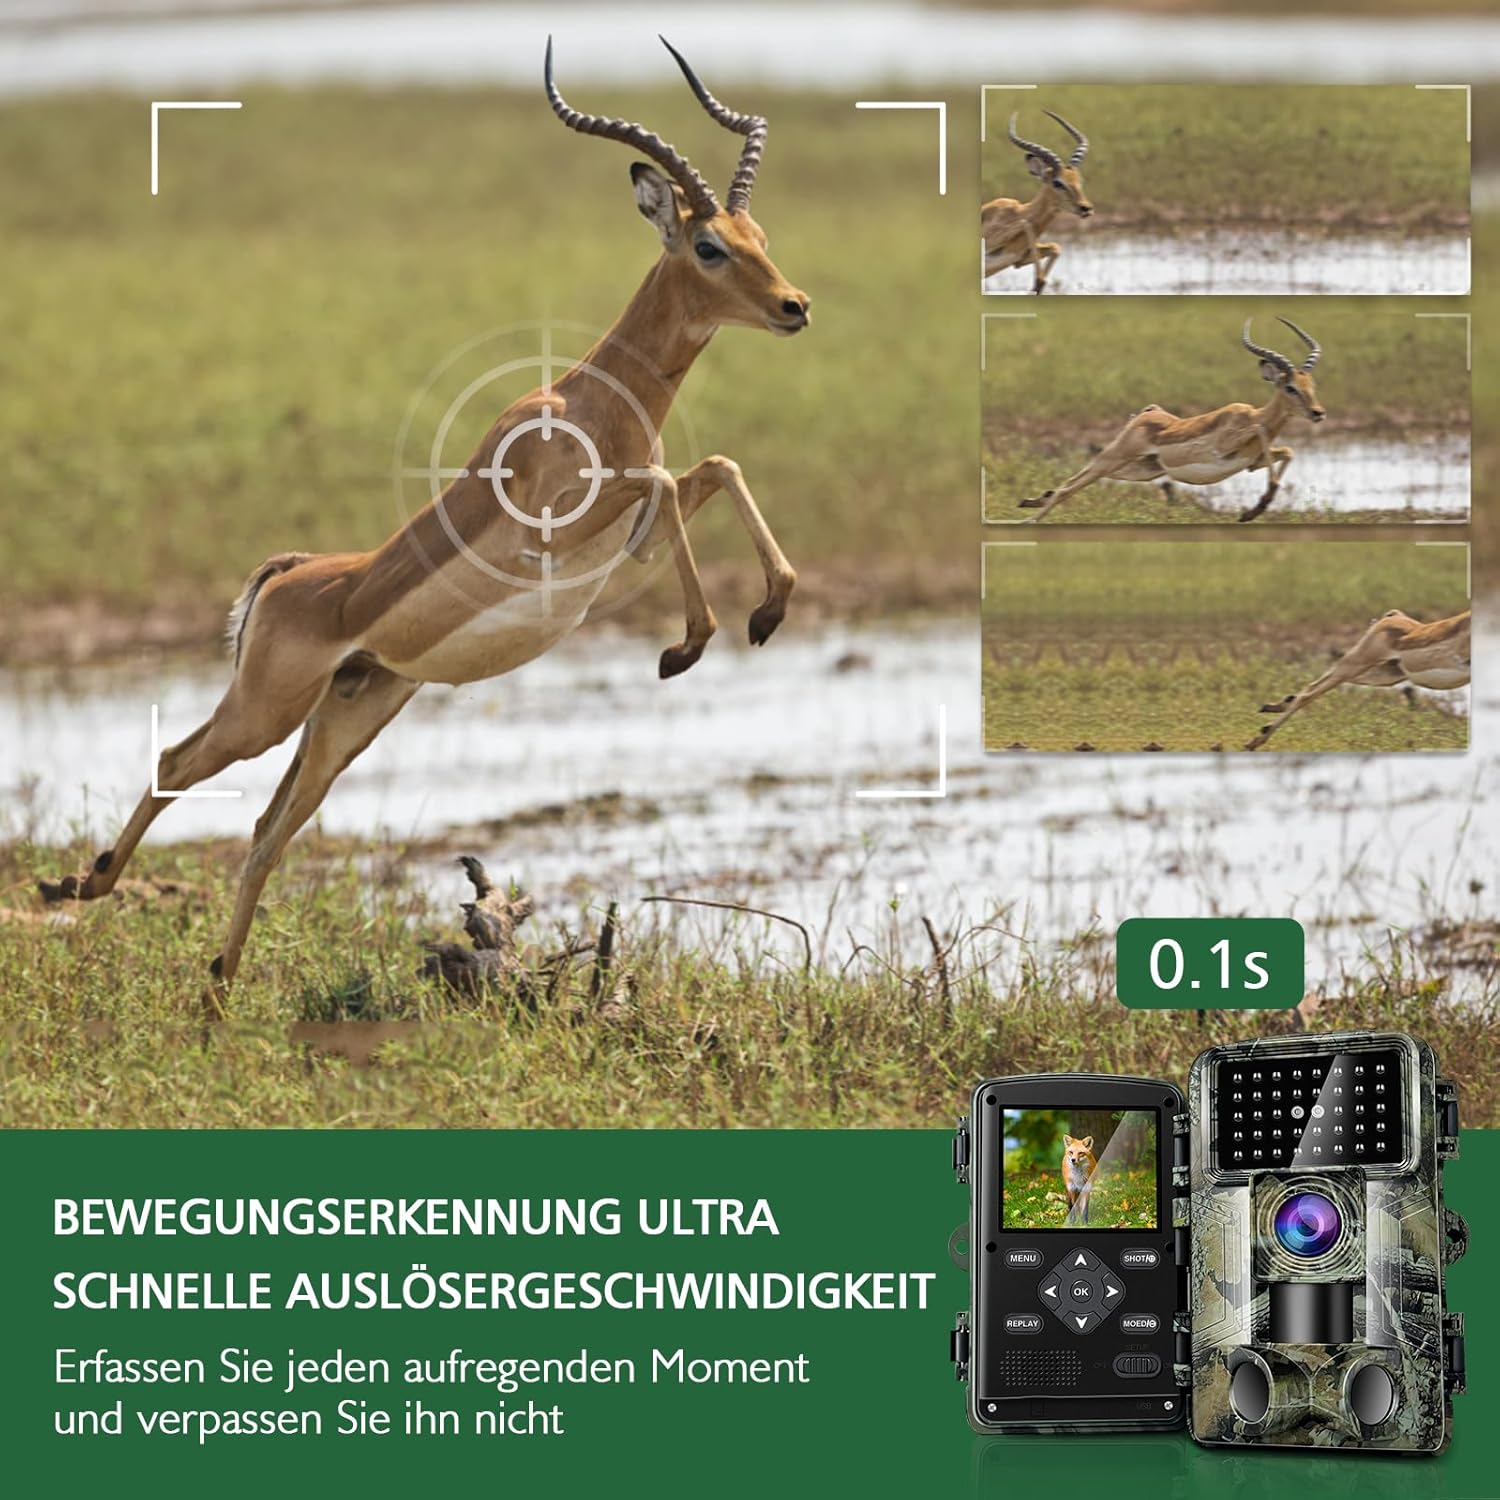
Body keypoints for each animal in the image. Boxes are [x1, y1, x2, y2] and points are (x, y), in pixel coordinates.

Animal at [38, 39, 811, 1015]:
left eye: (761, 239)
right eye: (709, 245)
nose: (795, 306)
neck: (593, 402)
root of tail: (291, 574)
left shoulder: (625, 534)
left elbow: (715, 468)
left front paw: (767, 610)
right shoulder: (564, 532)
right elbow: (673, 479)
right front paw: (689, 644)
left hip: (348, 718)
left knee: (267, 831)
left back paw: (215, 990)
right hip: (266, 712)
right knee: (178, 763)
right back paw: (83, 885)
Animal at [981, 110, 1092, 294]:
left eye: (1079, 180)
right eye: (1057, 182)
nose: (1086, 208)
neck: (1015, 212)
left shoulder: (1018, 260)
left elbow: (1055, 247)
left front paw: (1038, 285)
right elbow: (1027, 223)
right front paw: (1039, 282)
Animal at [1017, 318, 1326, 523]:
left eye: (1311, 385)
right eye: (1290, 387)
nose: (1318, 413)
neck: (1251, 413)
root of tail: (1149, 412)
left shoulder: (1251, 462)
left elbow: (1287, 451)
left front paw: (1253, 511)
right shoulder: (1224, 447)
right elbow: (1263, 431)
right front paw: (1254, 510)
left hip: (1142, 469)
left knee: (1075, 479)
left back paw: (1030, 501)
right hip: (1115, 457)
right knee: (1071, 485)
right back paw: (1028, 520)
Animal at [1245, 609, 1470, 751]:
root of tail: (1392, 616)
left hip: (1383, 675)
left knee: (1314, 686)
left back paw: (1270, 710)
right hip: (1356, 663)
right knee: (1310, 692)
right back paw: (1256, 739)